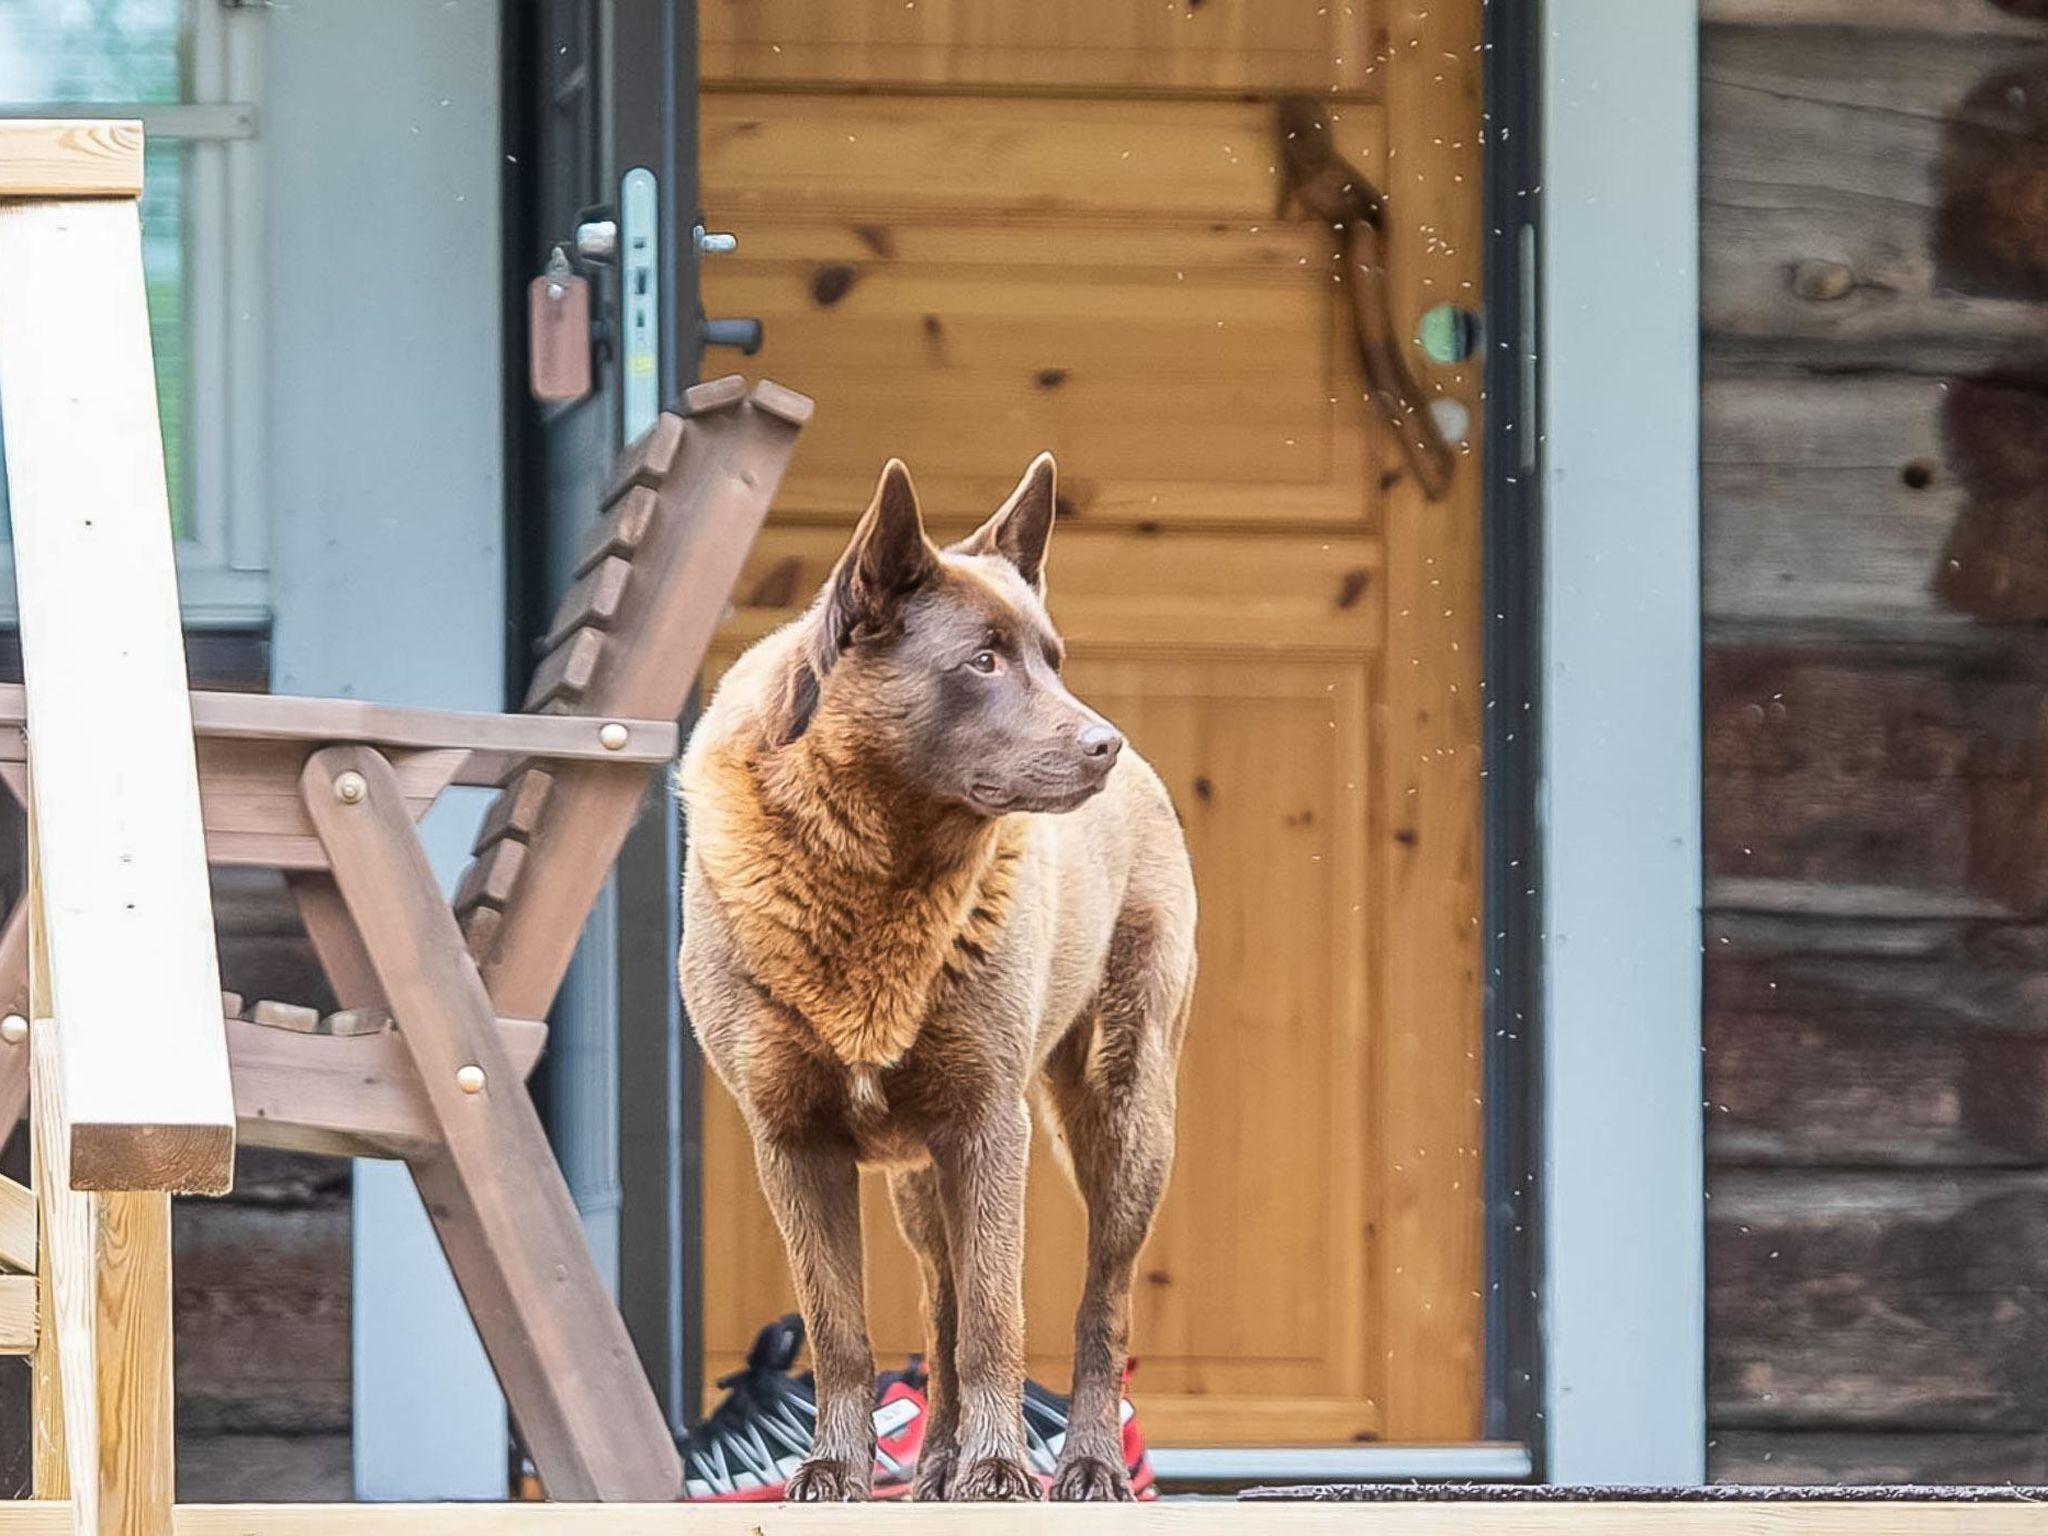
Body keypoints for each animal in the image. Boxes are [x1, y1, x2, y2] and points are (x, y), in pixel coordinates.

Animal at [684, 454, 1196, 1507]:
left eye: (1052, 659)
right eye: (983, 662)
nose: (1103, 744)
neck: (876, 871)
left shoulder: (988, 1124)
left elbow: (1001, 1315)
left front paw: (1000, 1468)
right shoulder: (791, 1141)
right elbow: (842, 1327)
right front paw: (837, 1469)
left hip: (1123, 1112)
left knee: (1098, 1303)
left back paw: (1084, 1464)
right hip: (921, 1180)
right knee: (941, 1309)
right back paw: (931, 1470)